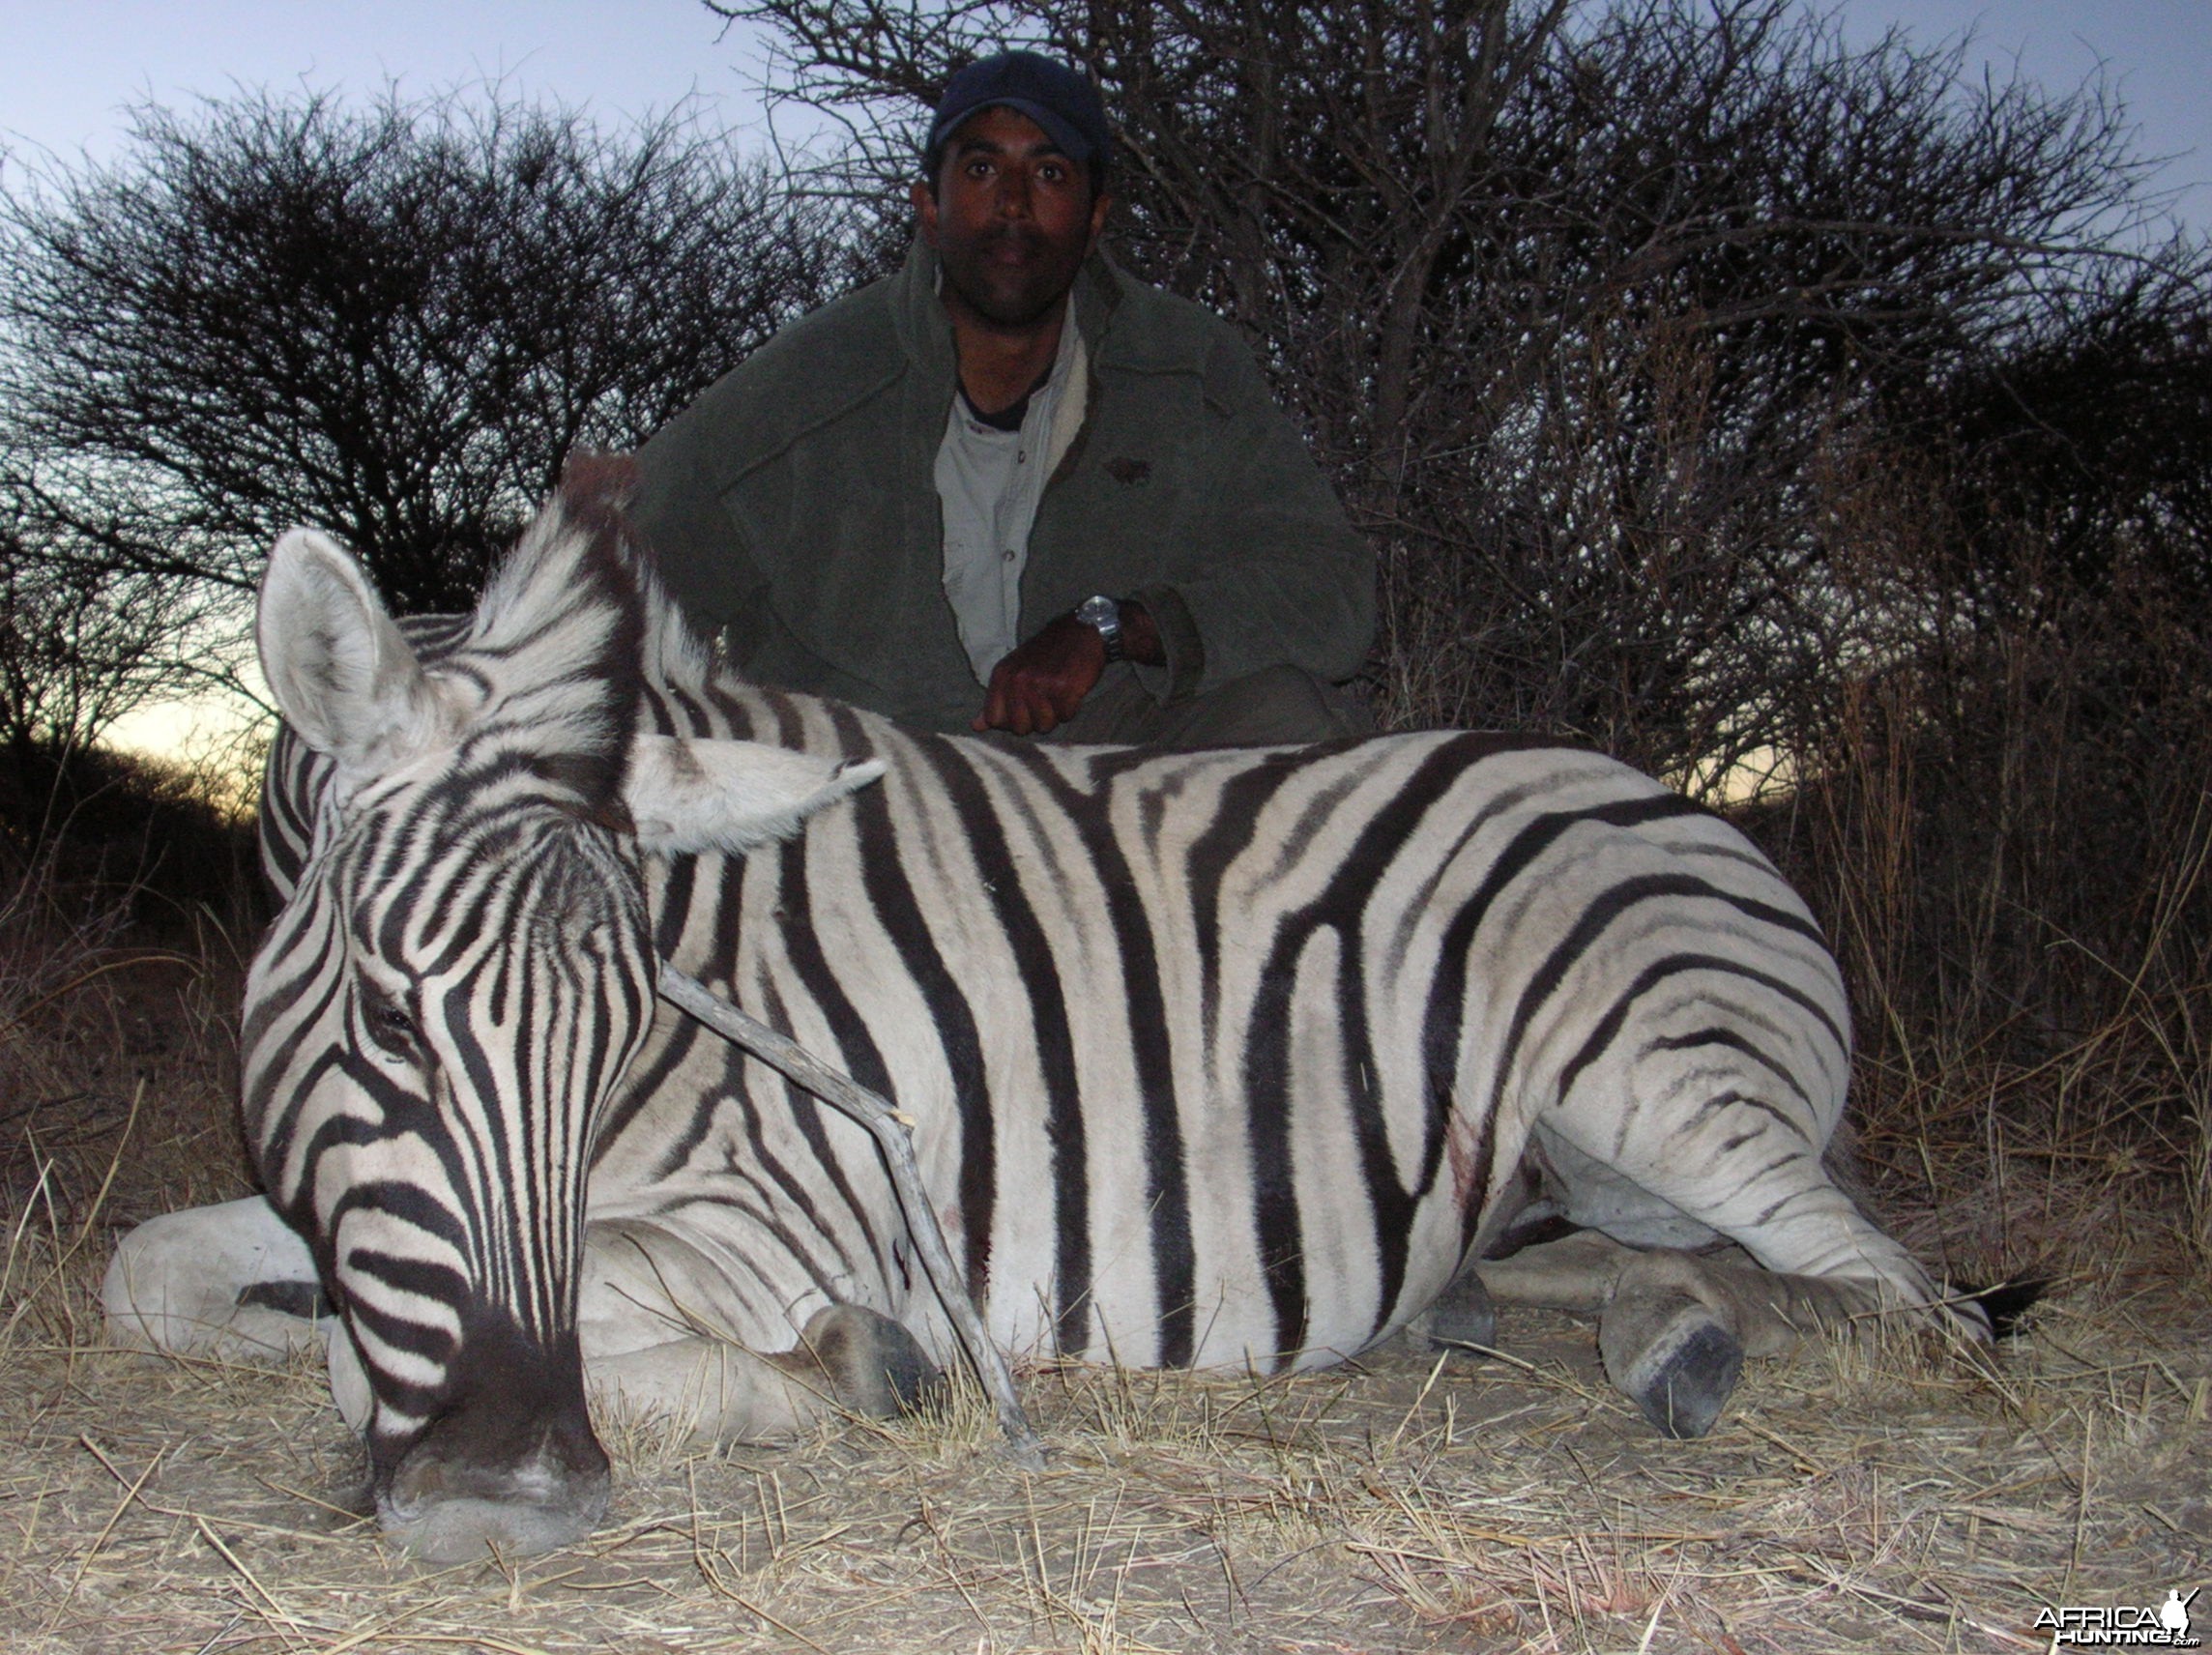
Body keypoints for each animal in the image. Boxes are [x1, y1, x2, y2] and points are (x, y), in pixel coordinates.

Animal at [103, 457, 1991, 1557]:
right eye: (384, 1018)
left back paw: (1711, 1339)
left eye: (627, 1026)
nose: (515, 1502)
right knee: (1638, 1263)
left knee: (1899, 1298)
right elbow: (160, 1277)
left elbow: (392, 1349)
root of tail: (1681, 801)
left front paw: (854, 1365)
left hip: (1658, 1080)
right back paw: (1558, 1319)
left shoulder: (793, 1223)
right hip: (1566, 1166)